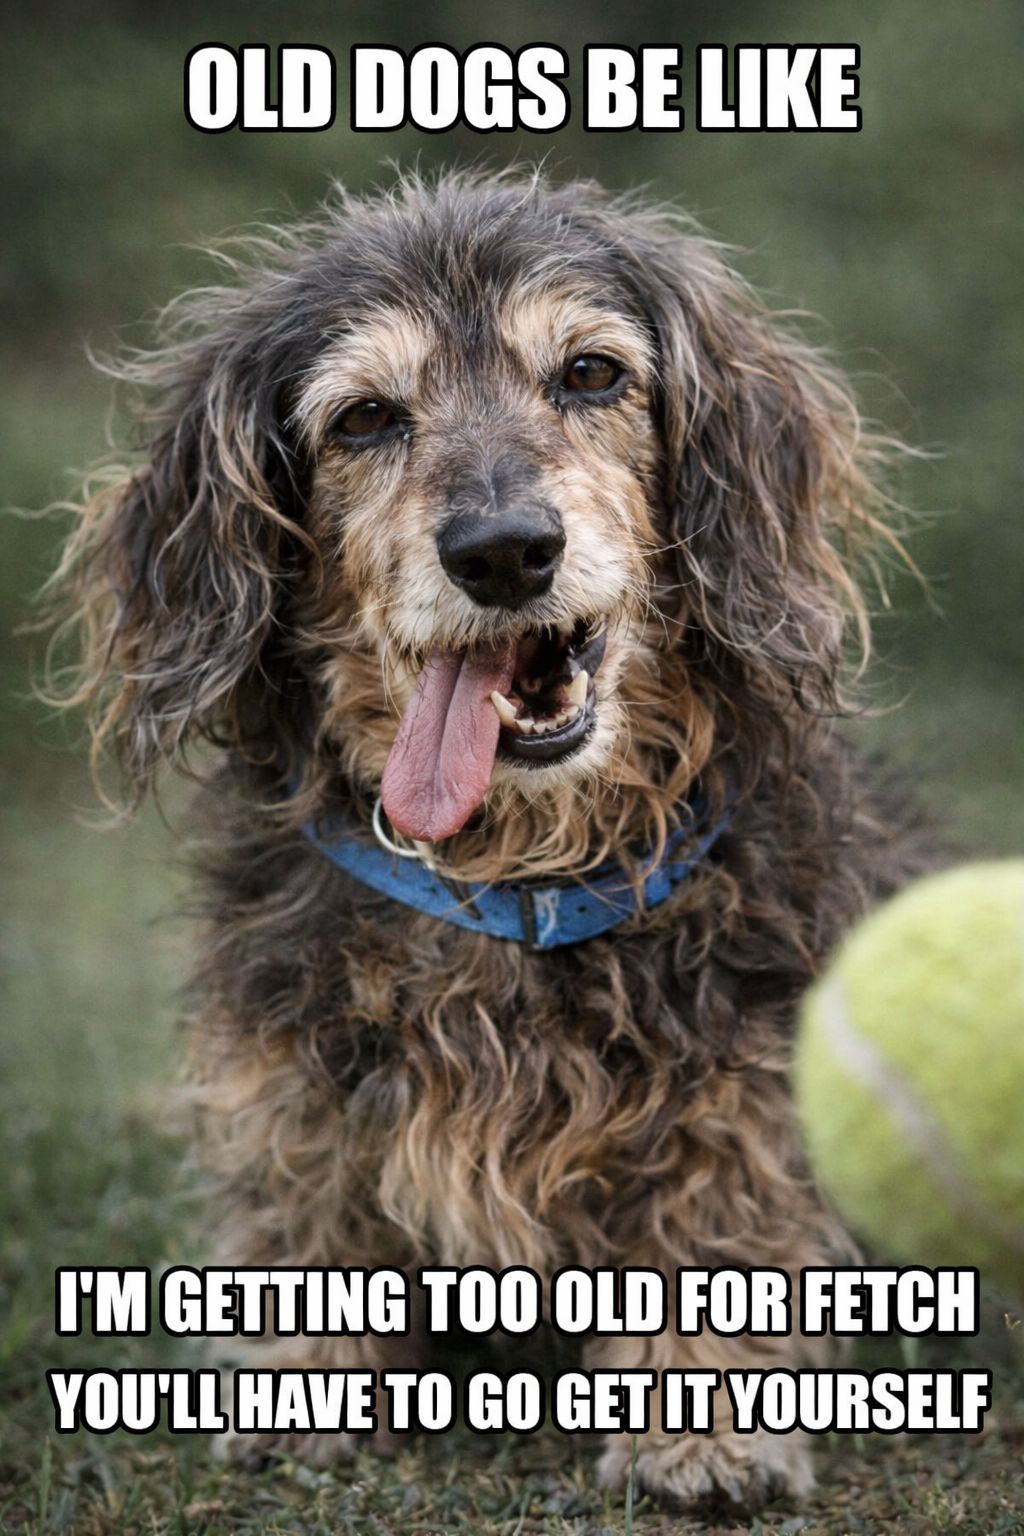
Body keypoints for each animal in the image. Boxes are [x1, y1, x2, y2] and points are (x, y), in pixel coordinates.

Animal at [52, 169, 923, 1512]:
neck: (511, 871)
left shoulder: (746, 1059)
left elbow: (721, 1207)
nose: (505, 550)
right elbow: (302, 1194)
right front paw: (304, 1381)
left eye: (591, 374)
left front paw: (703, 1427)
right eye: (364, 417)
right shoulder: (286, 1061)